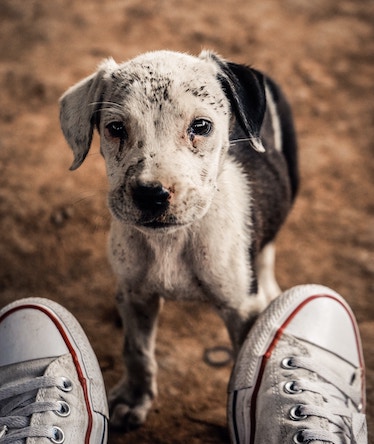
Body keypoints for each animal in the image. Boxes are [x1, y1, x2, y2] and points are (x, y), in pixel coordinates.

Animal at [59, 50, 298, 432]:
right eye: (116, 128)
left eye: (200, 126)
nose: (151, 194)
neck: (172, 241)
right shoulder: (136, 294)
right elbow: (137, 351)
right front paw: (134, 399)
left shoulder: (241, 310)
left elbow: (242, 367)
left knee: (268, 249)